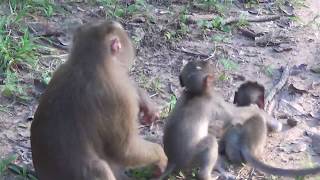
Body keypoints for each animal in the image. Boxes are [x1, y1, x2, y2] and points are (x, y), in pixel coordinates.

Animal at [30, 20, 168, 179]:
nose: (133, 50)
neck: (86, 63)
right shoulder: (121, 99)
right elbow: (125, 150)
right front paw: (161, 155)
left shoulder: (60, 70)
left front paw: (144, 100)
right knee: (98, 167)